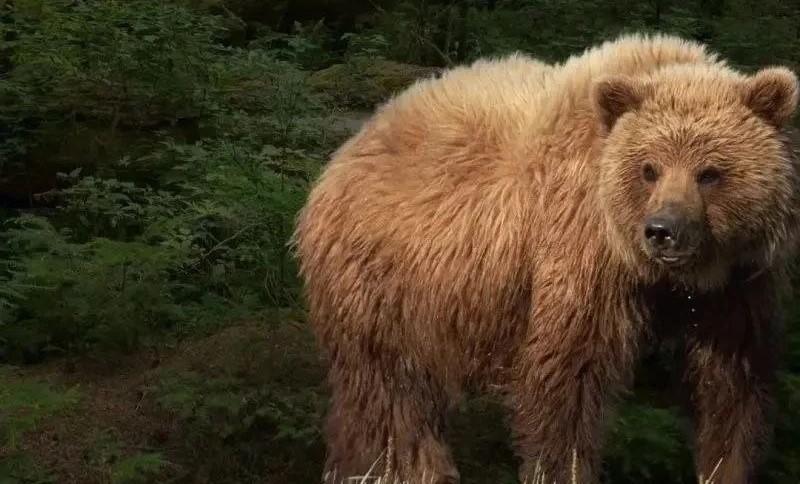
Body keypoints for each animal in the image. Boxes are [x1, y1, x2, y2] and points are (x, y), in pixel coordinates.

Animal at [292, 33, 800, 484]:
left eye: (710, 172)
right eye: (649, 169)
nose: (662, 231)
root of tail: (343, 154)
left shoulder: (738, 282)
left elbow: (731, 385)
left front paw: (725, 465)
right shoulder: (580, 249)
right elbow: (566, 380)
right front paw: (565, 468)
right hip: (380, 281)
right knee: (387, 395)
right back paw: (395, 469)